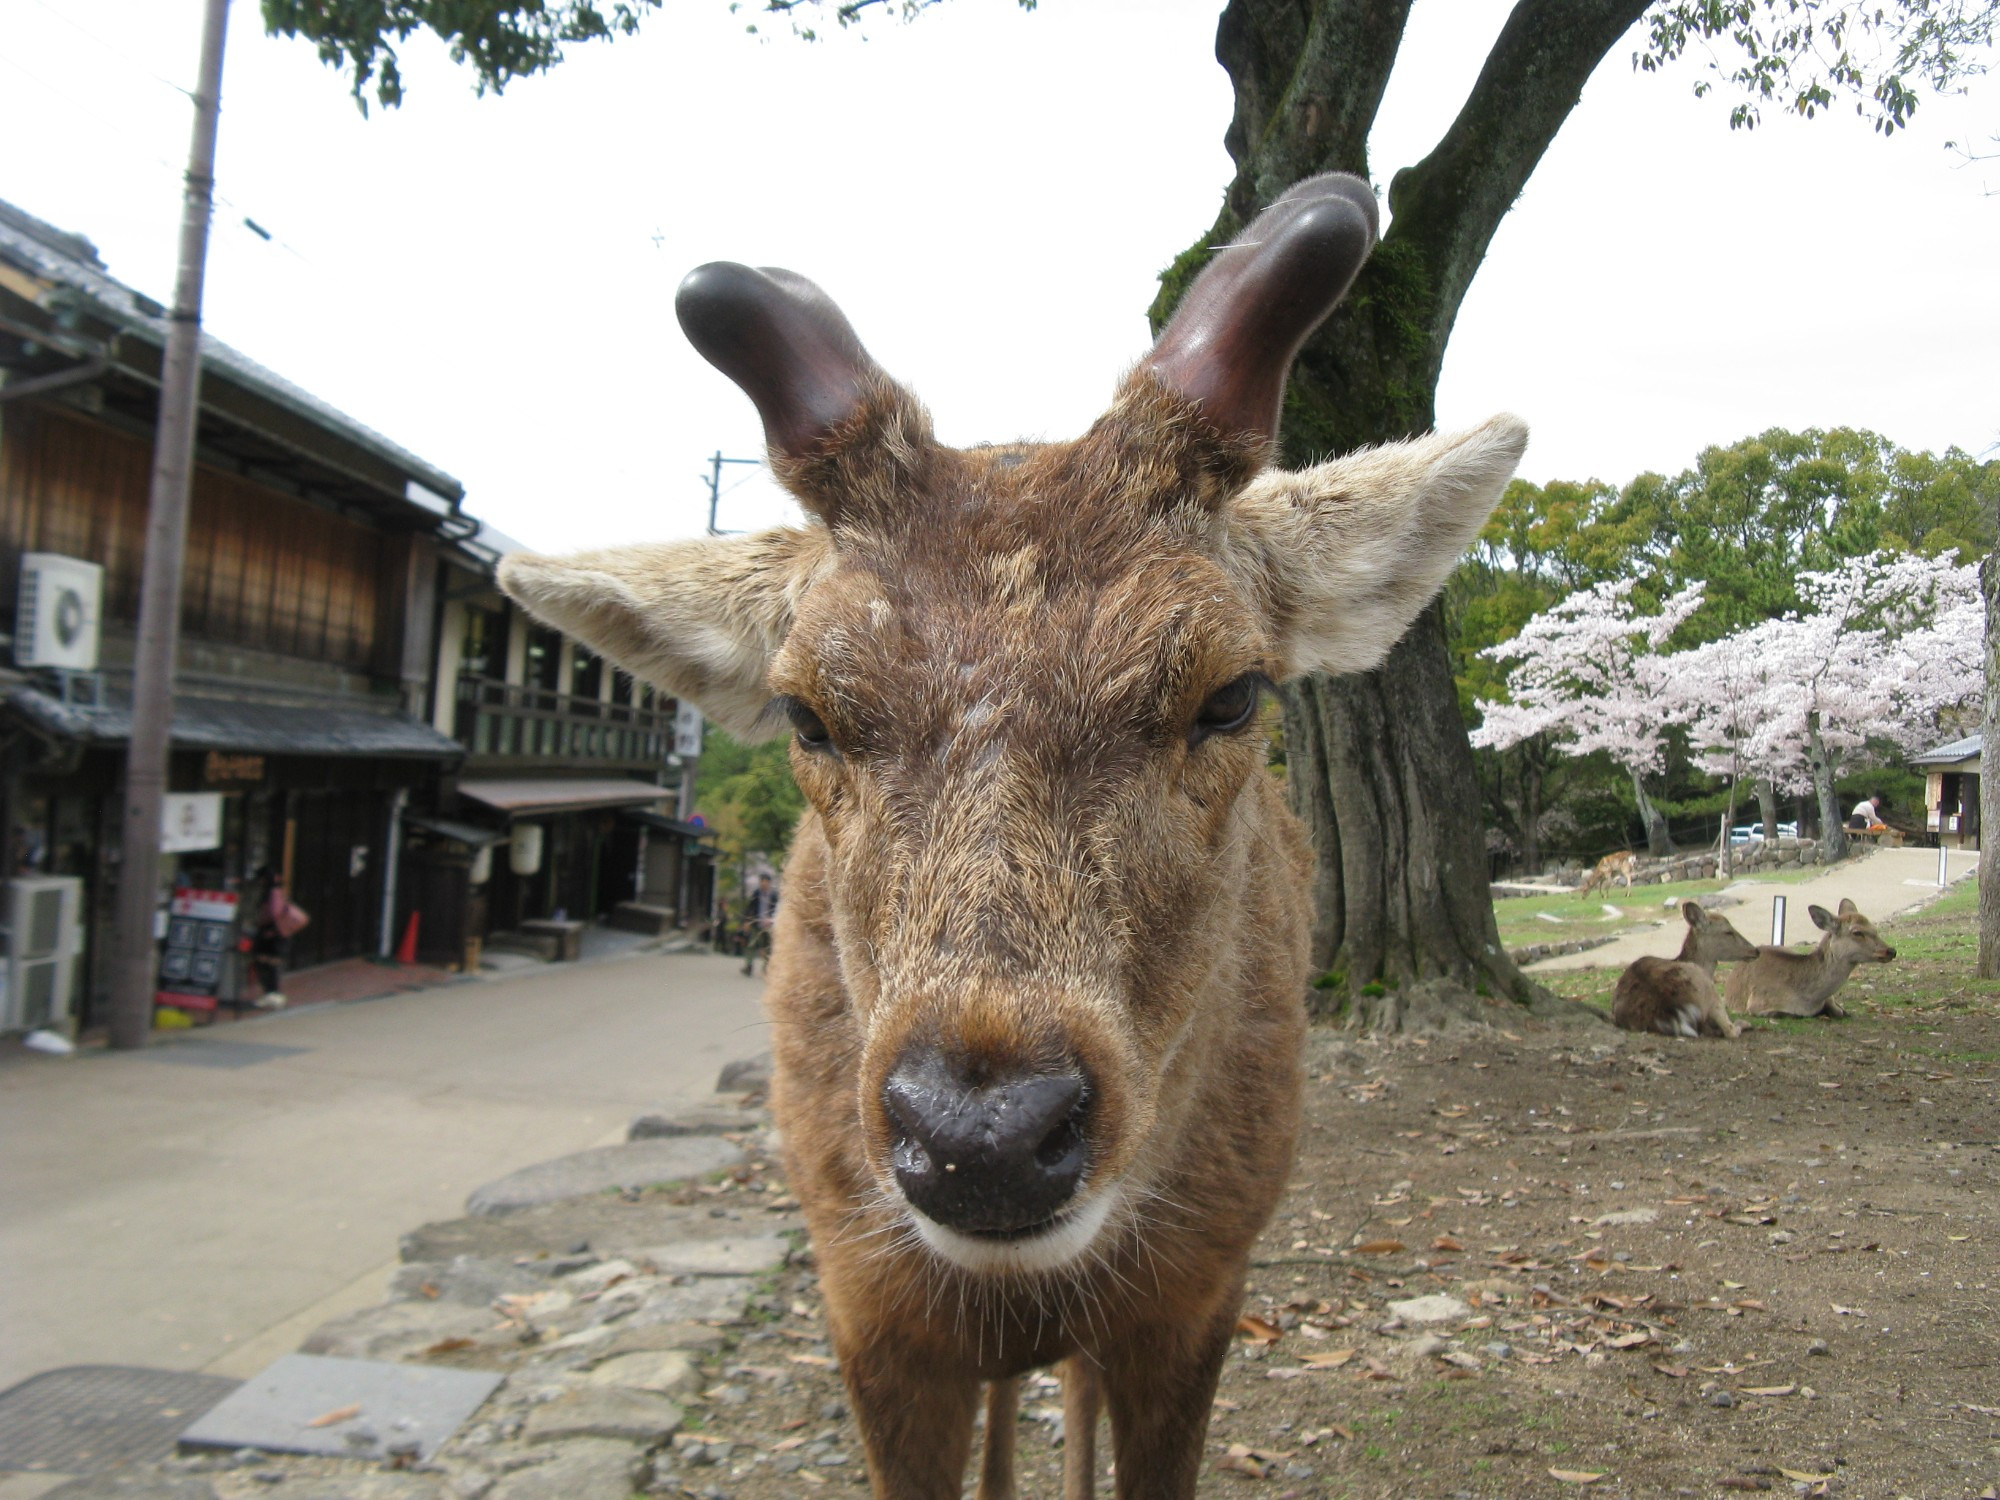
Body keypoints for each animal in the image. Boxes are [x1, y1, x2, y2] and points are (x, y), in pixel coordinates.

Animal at [1616, 900, 1760, 1040]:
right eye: (1728, 932)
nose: (1756, 951)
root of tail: (1670, 1013)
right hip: (1708, 989)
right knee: (1728, 1030)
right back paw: (1744, 1024)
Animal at [1728, 892, 1896, 1024]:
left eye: (1874, 928)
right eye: (1857, 932)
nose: (1891, 950)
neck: (1809, 998)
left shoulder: (1829, 999)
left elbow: (1839, 1012)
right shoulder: (1756, 1004)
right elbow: (1793, 1014)